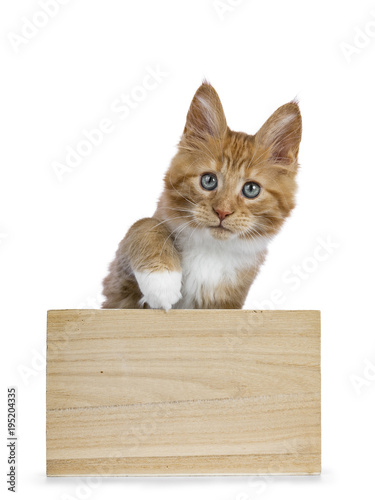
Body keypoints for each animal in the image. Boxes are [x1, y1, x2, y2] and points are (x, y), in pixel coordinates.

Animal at [102, 82, 302, 308]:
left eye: (251, 189)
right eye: (209, 180)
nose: (222, 212)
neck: (211, 250)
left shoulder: (229, 303)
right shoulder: (117, 287)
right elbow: (143, 224)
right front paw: (162, 282)